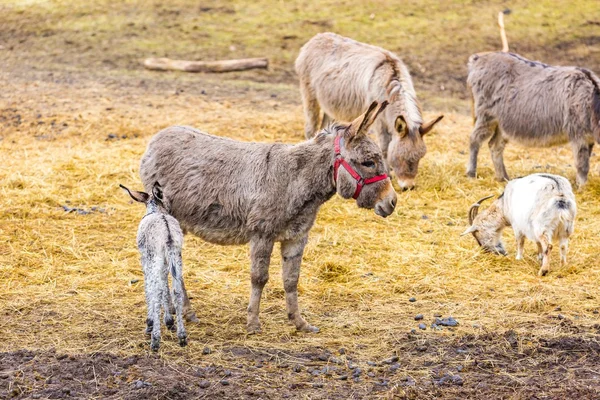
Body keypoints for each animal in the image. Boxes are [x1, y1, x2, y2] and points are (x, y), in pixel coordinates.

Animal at [120, 181, 188, 350]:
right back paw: (182, 337)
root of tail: (167, 231)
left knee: (156, 291)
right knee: (177, 291)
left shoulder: (146, 261)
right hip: (176, 258)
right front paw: (169, 321)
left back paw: (155, 339)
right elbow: (166, 288)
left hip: (154, 259)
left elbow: (150, 288)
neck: (155, 210)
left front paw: (151, 323)